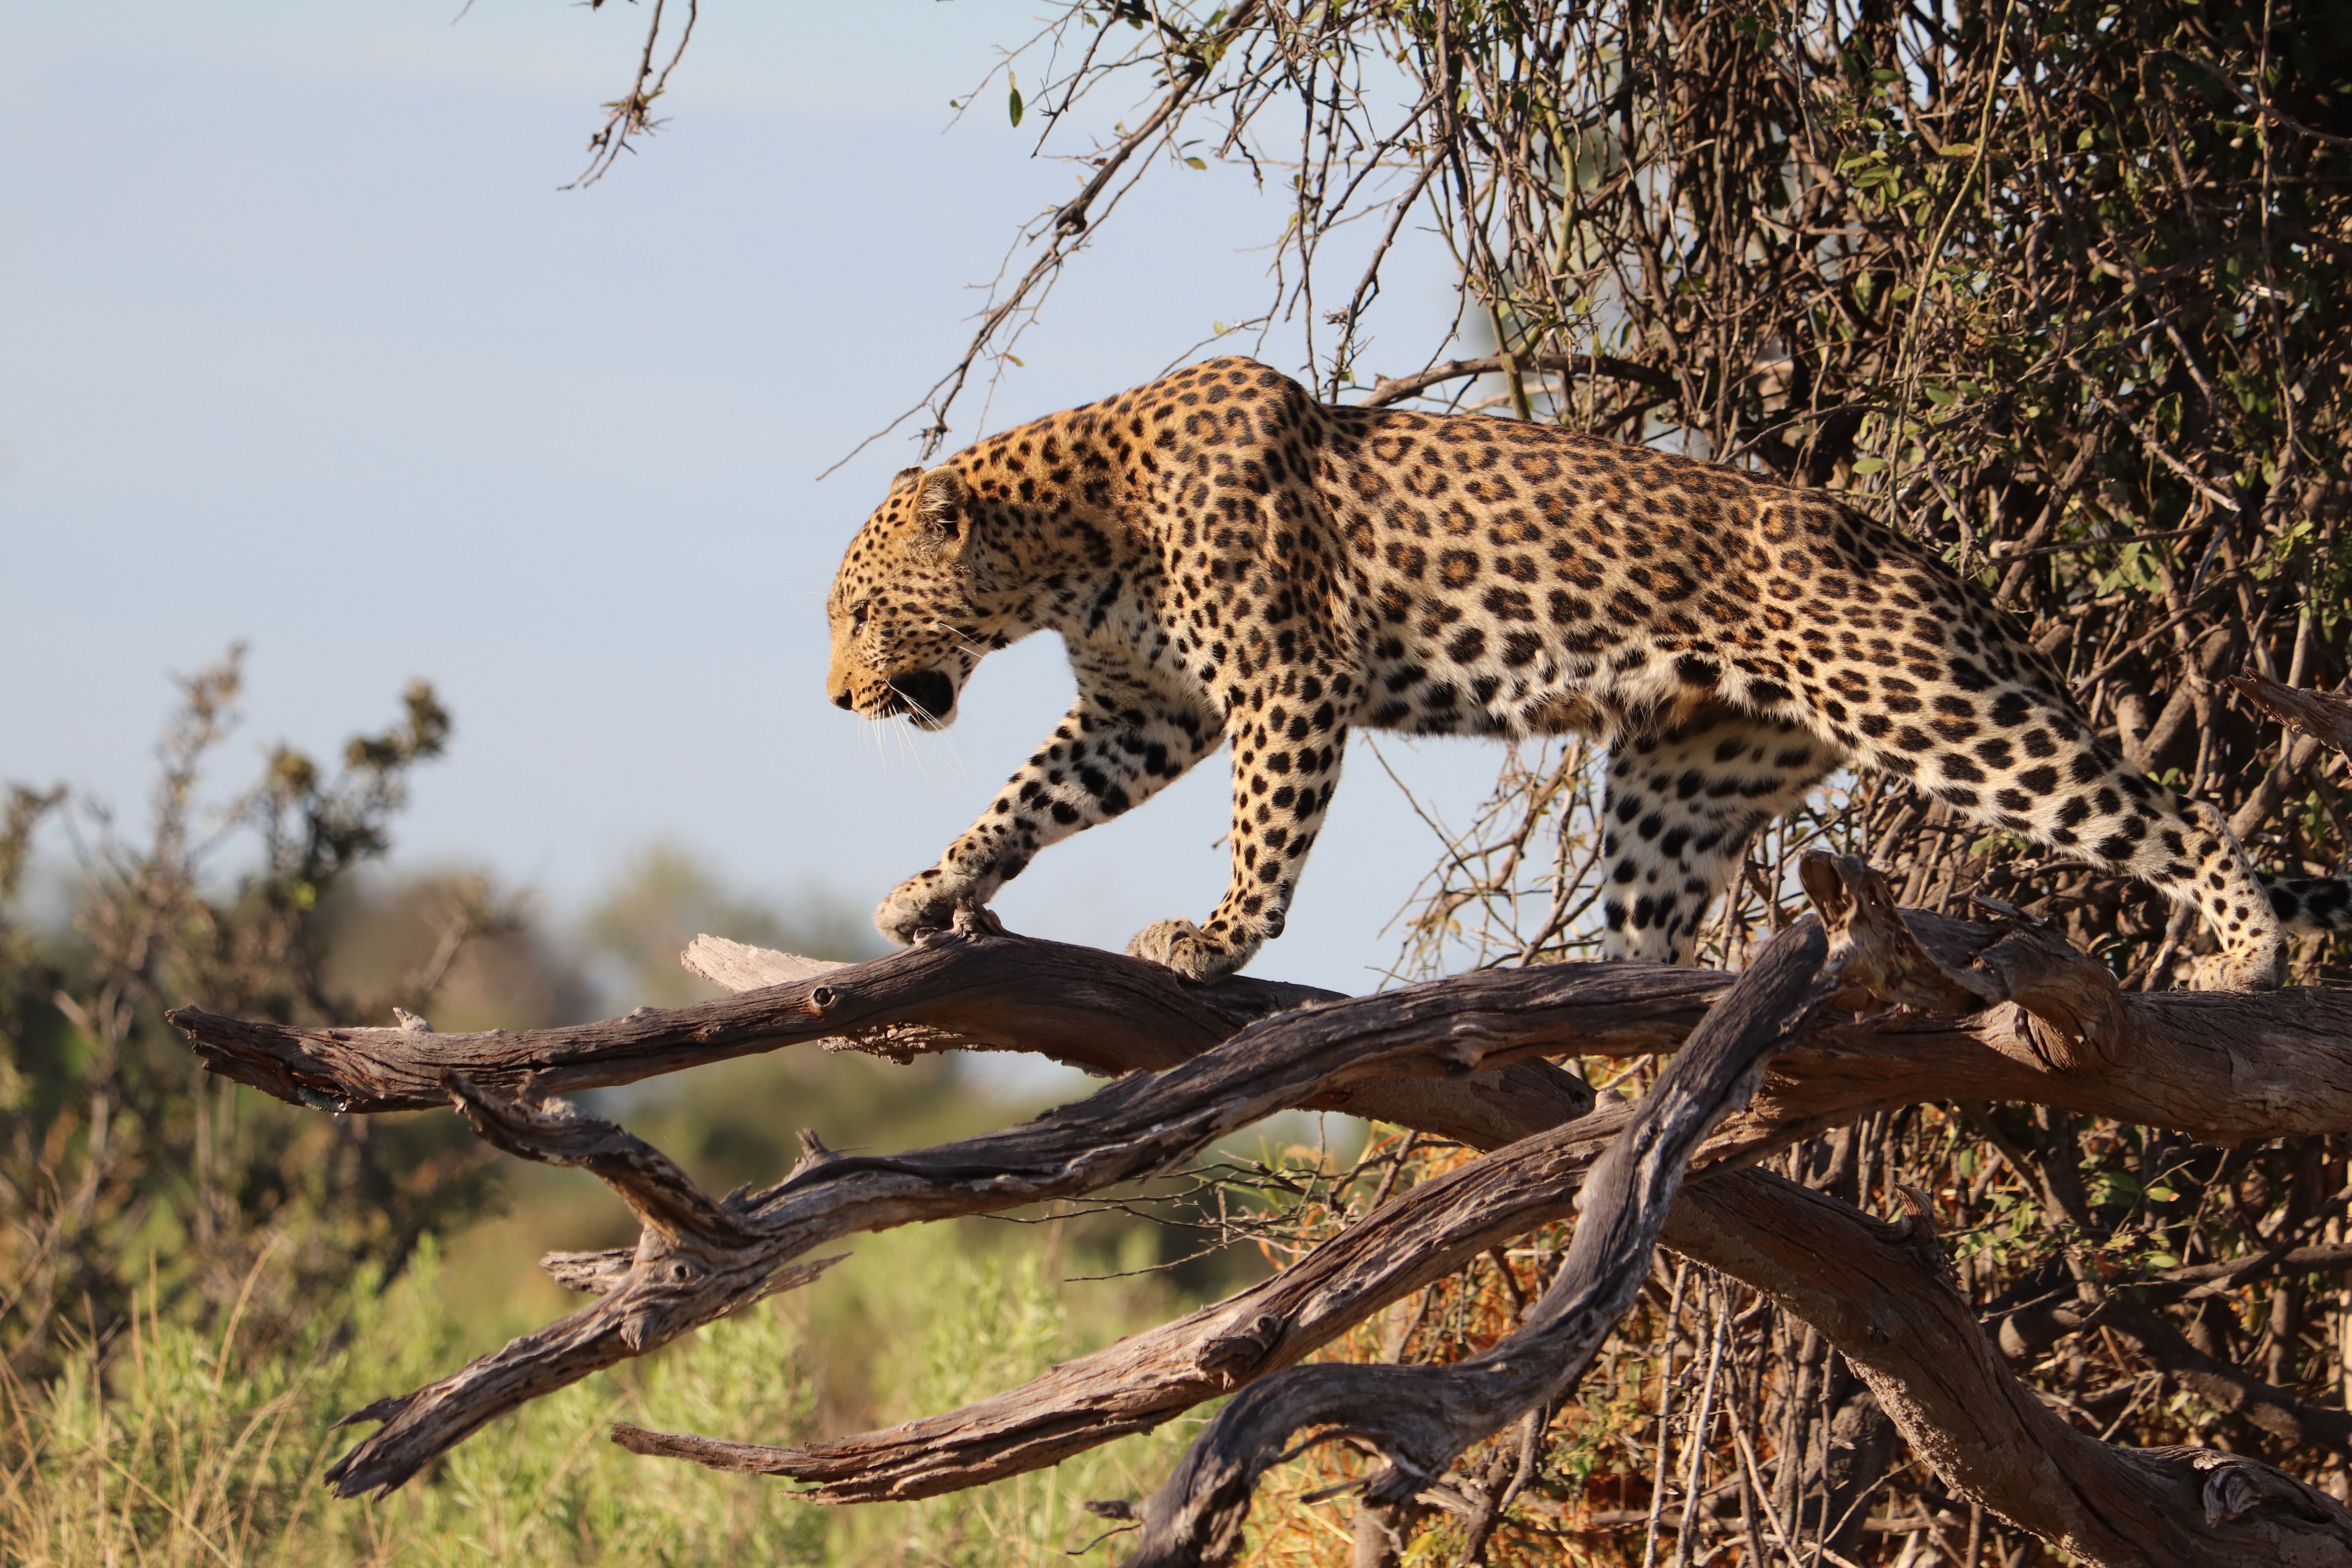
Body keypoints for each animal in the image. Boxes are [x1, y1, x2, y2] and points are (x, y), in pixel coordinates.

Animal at [826, 355, 2352, 991]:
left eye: (854, 609)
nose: (837, 701)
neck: (1069, 544)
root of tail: (1905, 544)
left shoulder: (1283, 684)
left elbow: (1264, 831)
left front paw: (1218, 936)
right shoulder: (1143, 711)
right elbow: (1026, 798)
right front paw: (930, 886)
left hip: (1928, 705)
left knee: (2155, 813)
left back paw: (2243, 945)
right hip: (1689, 773)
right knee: (1657, 926)